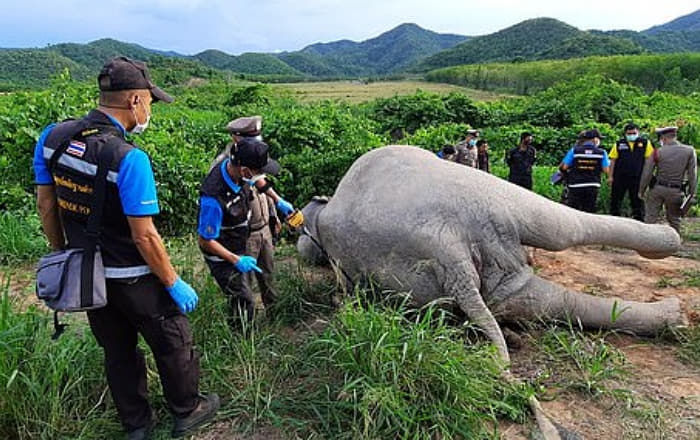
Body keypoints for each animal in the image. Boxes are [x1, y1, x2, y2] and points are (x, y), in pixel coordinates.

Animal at [296, 145, 684, 440]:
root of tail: (447, 244)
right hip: (476, 228)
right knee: (552, 249)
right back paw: (675, 310)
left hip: (481, 208)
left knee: (558, 231)